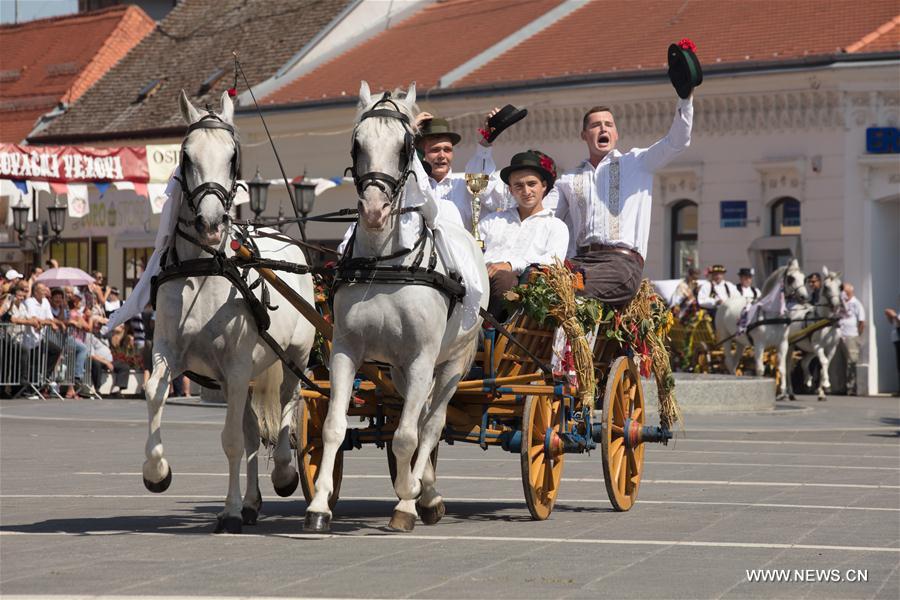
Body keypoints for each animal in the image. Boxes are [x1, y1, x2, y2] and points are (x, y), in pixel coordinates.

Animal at [142, 90, 318, 536]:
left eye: (233, 155)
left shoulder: (237, 365)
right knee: (254, 430)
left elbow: (232, 441)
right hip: (240, 378)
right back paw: (255, 500)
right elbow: (154, 392)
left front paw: (232, 510)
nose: (209, 222)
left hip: (292, 357)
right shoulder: (171, 351)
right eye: (185, 154)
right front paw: (156, 471)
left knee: (289, 405)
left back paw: (285, 473)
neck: (206, 268)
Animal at [302, 82, 488, 532]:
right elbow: (333, 427)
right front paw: (319, 506)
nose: (373, 209)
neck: (387, 264)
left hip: (452, 364)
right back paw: (430, 493)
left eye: (406, 147)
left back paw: (420, 493)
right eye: (357, 143)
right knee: (418, 419)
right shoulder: (346, 349)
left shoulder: (423, 357)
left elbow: (405, 437)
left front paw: (406, 499)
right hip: (402, 372)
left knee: (431, 424)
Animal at [712, 260, 812, 400]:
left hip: (740, 342)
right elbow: (760, 369)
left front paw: (782, 393)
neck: (772, 315)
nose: (804, 297)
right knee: (729, 361)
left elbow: (782, 368)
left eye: (804, 278)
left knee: (735, 362)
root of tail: (724, 303)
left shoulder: (783, 344)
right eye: (790, 278)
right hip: (725, 339)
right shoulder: (759, 344)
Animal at [788, 268, 844, 400]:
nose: (836, 305)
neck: (826, 322)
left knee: (804, 362)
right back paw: (790, 392)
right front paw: (827, 383)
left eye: (840, 286)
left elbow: (825, 365)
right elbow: (824, 362)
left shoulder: (831, 348)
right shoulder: (818, 346)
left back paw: (808, 380)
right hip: (791, 346)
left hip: (810, 349)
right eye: (826, 286)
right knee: (787, 367)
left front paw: (821, 391)